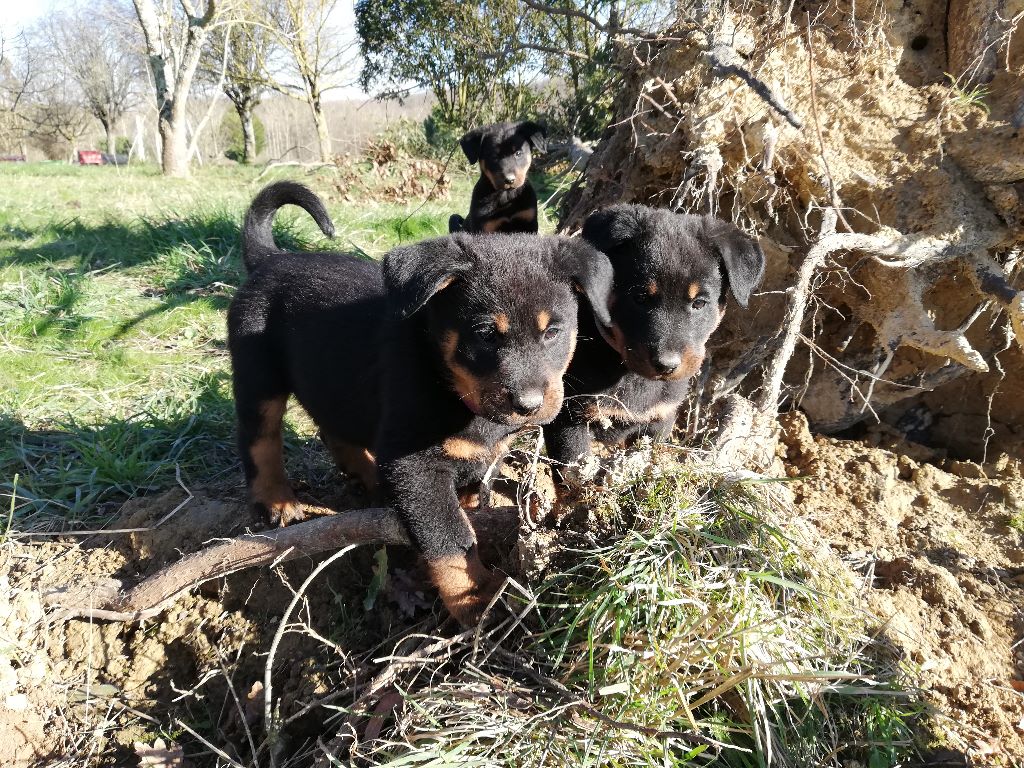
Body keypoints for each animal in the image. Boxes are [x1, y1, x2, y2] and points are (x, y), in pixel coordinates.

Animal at [229, 182, 610, 626]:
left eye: (553, 332)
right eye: (485, 334)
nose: (529, 405)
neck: (450, 383)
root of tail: (271, 259)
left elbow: (473, 495)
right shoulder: (415, 464)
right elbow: (451, 537)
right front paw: (478, 599)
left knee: (334, 428)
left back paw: (367, 476)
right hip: (259, 377)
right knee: (259, 439)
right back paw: (276, 500)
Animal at [548, 204, 765, 487]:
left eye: (699, 303)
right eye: (639, 297)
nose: (666, 365)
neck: (631, 375)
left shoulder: (660, 419)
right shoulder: (569, 418)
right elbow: (573, 476)